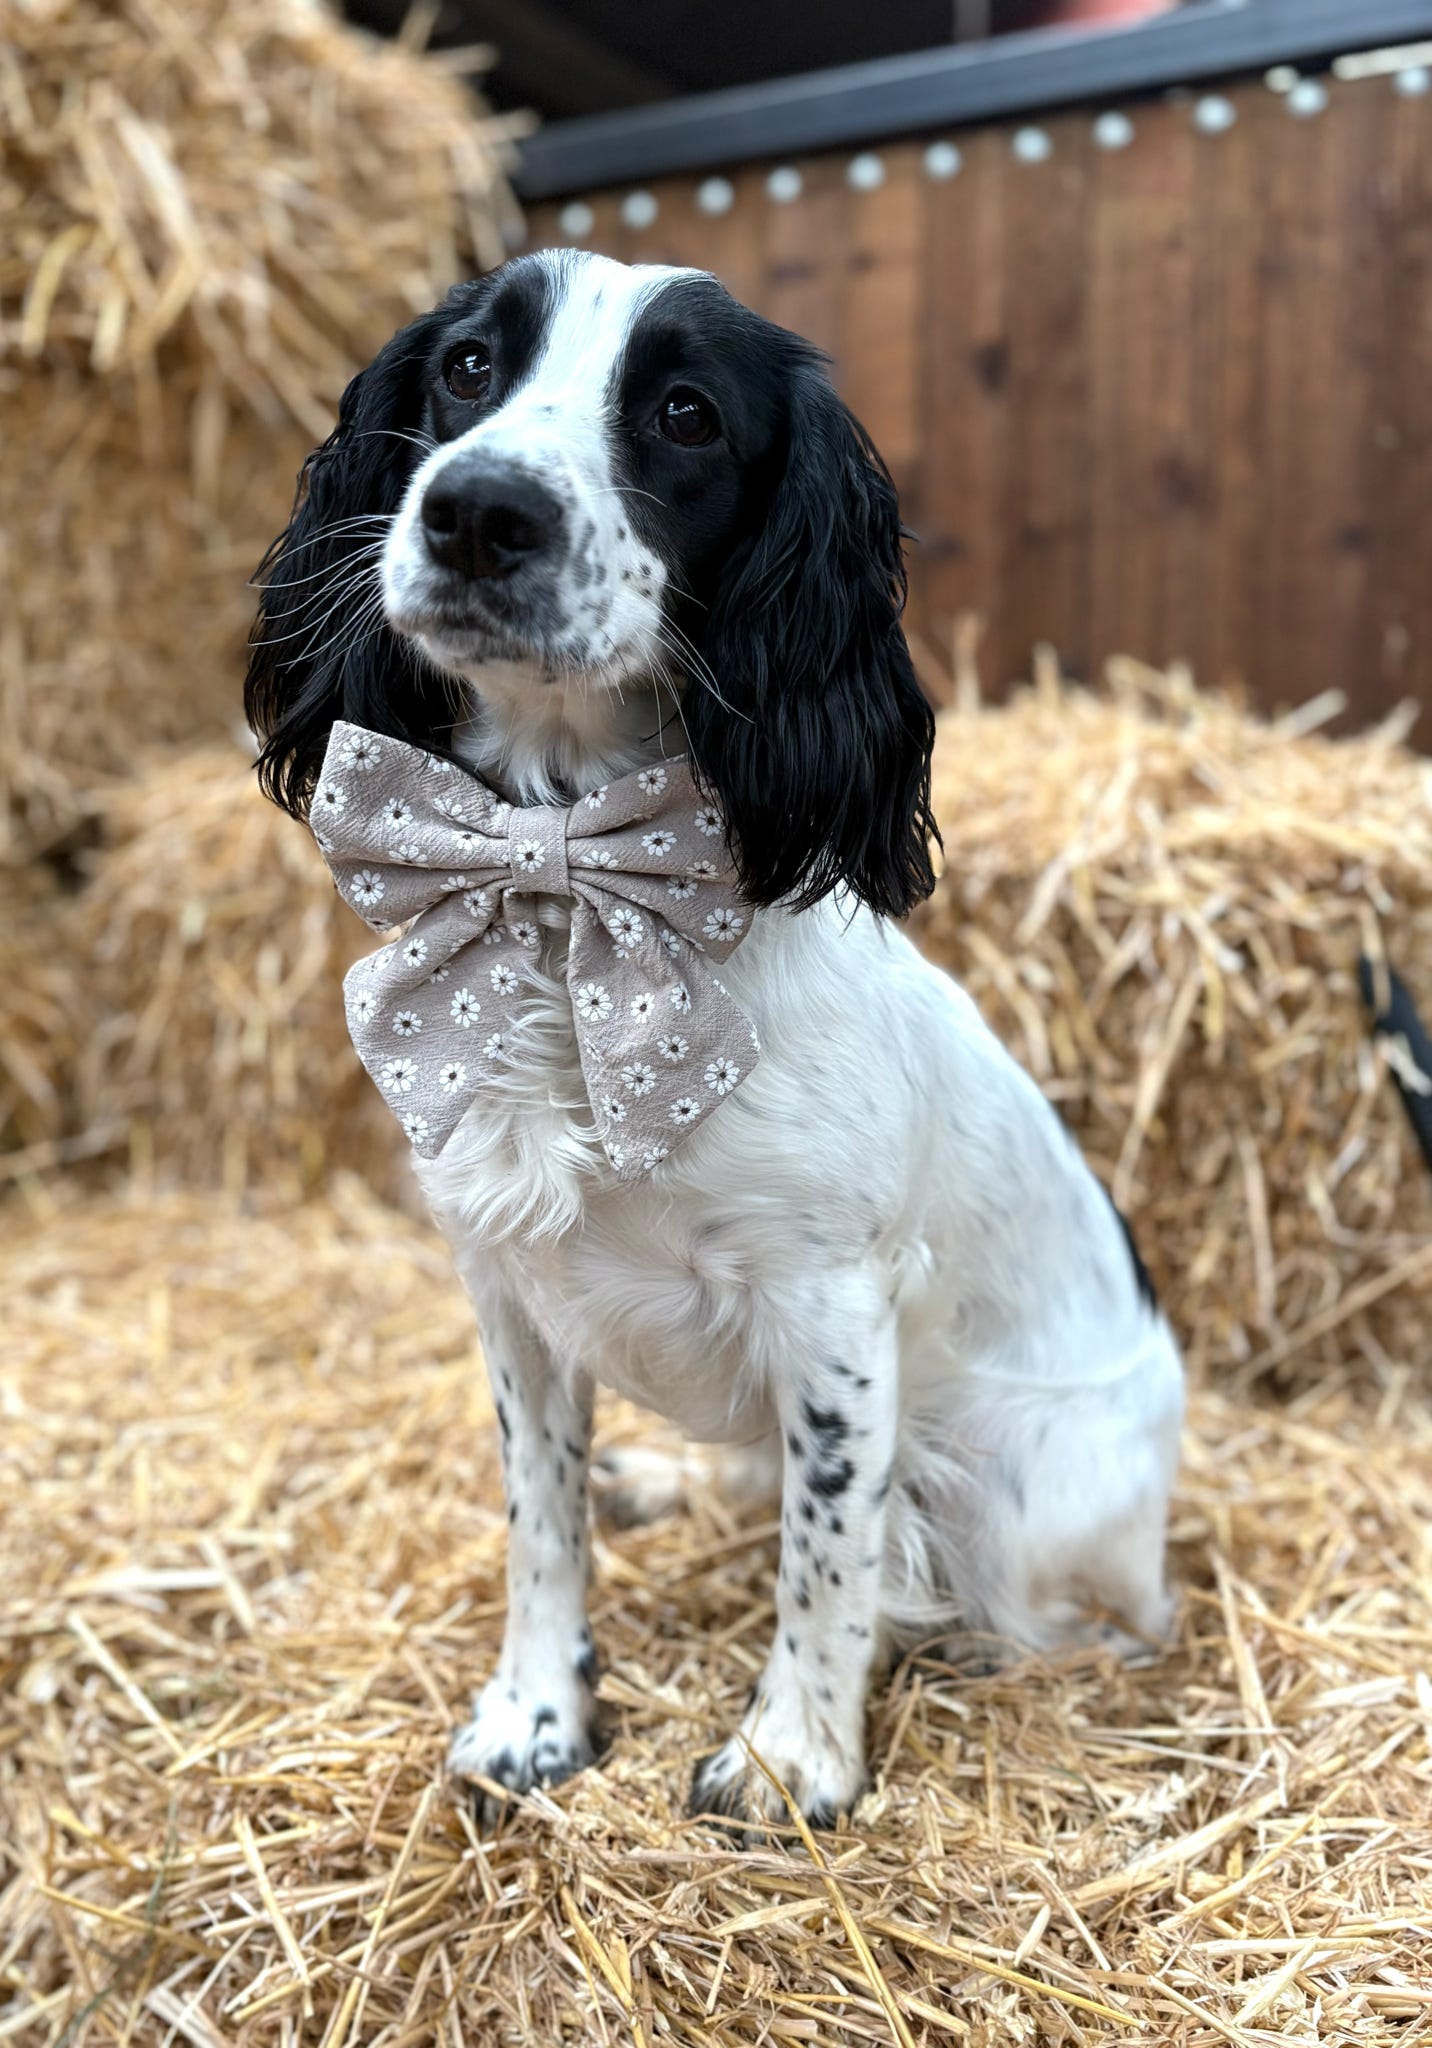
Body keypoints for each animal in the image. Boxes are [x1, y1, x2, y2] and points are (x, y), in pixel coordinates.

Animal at [248, 247, 1188, 1835]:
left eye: (685, 412)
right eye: (467, 367)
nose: (476, 511)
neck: (566, 892)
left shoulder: (830, 1306)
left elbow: (830, 1550)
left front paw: (792, 1755)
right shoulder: (508, 1289)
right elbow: (542, 1516)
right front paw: (537, 1713)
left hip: (1023, 1484)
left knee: (1046, 1606)